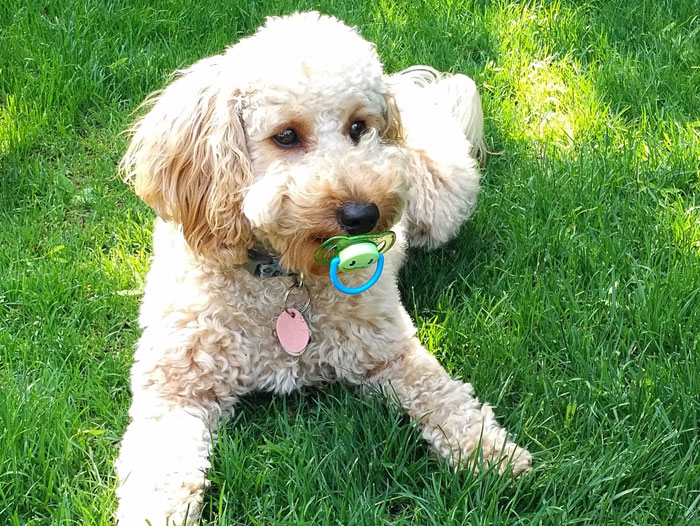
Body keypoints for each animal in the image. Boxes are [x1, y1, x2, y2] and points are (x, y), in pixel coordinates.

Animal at [115, 10, 532, 524]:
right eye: (286, 135)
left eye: (359, 127)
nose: (363, 214)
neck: (281, 281)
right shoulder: (174, 388)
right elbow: (159, 469)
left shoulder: (389, 353)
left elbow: (441, 394)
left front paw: (490, 450)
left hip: (441, 205)